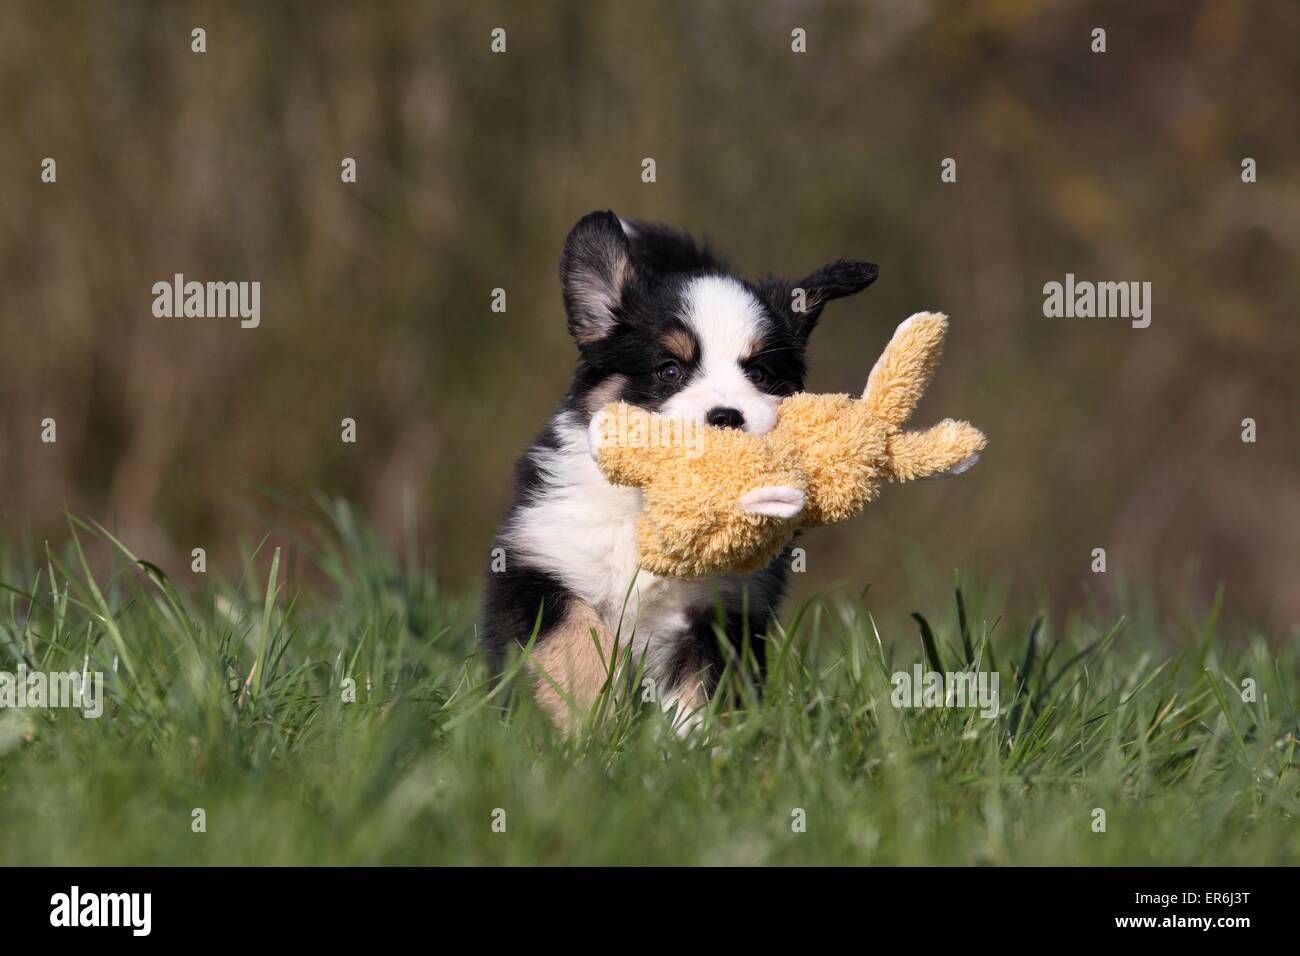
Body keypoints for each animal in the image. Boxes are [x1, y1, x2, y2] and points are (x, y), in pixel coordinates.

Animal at [483, 210, 878, 733]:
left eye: (760, 374)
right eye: (670, 370)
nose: (726, 416)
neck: (647, 506)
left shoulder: (723, 610)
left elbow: (700, 691)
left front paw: (690, 748)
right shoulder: (538, 568)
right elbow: (576, 645)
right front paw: (591, 729)